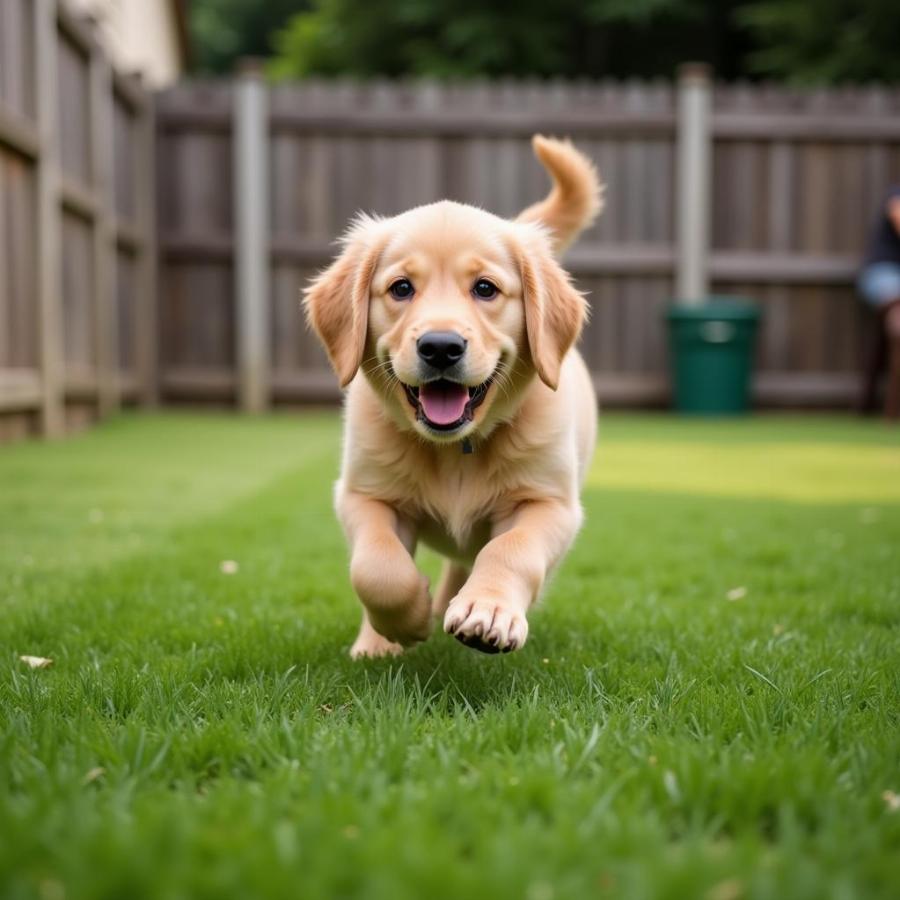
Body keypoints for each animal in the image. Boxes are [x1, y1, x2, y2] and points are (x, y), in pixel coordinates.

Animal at [304, 135, 604, 652]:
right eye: (401, 288)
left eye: (485, 288)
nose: (441, 347)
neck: (454, 449)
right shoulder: (363, 494)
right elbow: (375, 567)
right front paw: (407, 621)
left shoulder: (550, 503)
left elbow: (511, 548)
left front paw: (489, 611)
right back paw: (383, 639)